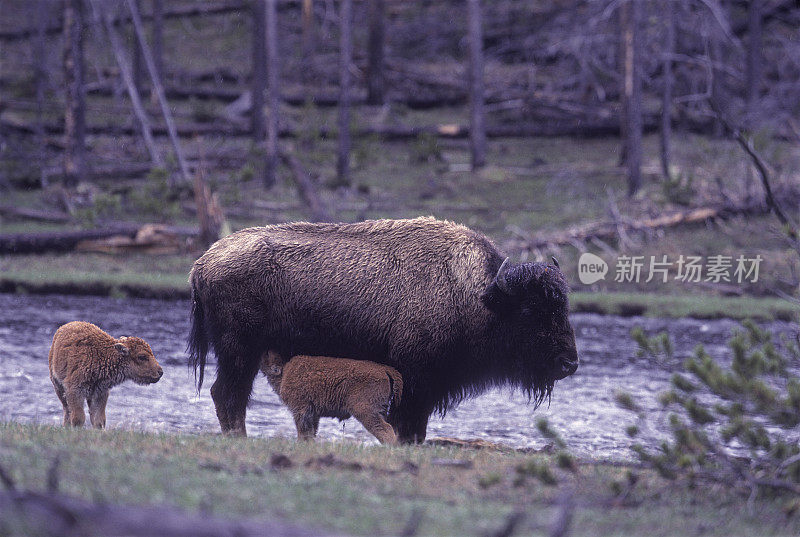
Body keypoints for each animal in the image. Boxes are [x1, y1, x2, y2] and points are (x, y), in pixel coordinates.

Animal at [260, 350, 404, 442]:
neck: (285, 371)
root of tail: (385, 369)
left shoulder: (300, 411)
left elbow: (303, 433)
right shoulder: (313, 415)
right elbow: (311, 433)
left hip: (366, 412)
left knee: (385, 430)